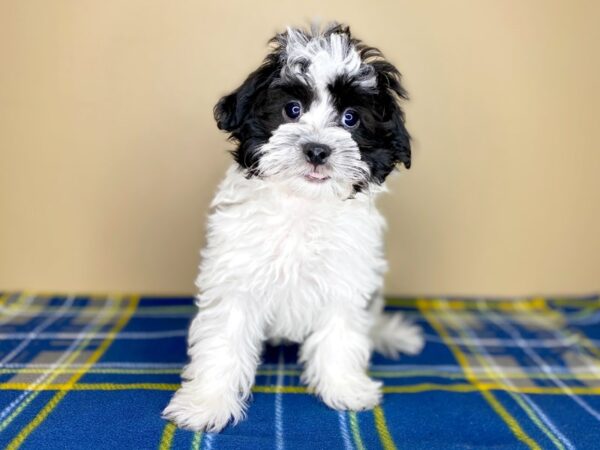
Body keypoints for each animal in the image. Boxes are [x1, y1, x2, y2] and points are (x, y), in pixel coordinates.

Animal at [163, 22, 422, 432]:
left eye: (351, 118)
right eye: (292, 110)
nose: (317, 150)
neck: (303, 204)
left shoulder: (344, 279)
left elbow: (341, 335)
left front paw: (344, 387)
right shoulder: (236, 273)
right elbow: (223, 339)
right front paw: (206, 403)